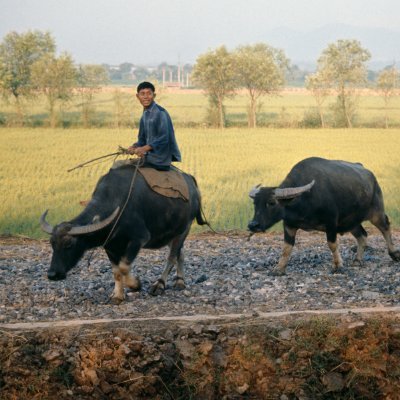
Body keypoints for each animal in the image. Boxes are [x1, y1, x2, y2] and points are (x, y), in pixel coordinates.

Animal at [40, 166, 205, 304]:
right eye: (52, 243)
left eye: (69, 245)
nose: (52, 274)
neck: (115, 202)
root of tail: (191, 181)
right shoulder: (110, 246)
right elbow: (116, 272)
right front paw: (118, 295)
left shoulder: (138, 240)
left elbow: (124, 267)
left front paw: (136, 284)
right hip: (170, 234)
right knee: (180, 254)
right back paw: (180, 282)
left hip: (184, 229)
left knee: (171, 257)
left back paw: (159, 285)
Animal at [248, 158, 398, 274]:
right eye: (255, 203)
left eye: (271, 203)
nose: (253, 225)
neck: (304, 200)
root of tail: (369, 174)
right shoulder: (289, 225)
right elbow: (286, 248)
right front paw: (279, 269)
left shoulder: (331, 222)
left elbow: (332, 244)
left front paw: (338, 265)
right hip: (351, 221)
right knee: (362, 235)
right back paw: (357, 260)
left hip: (376, 212)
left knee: (385, 227)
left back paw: (394, 253)